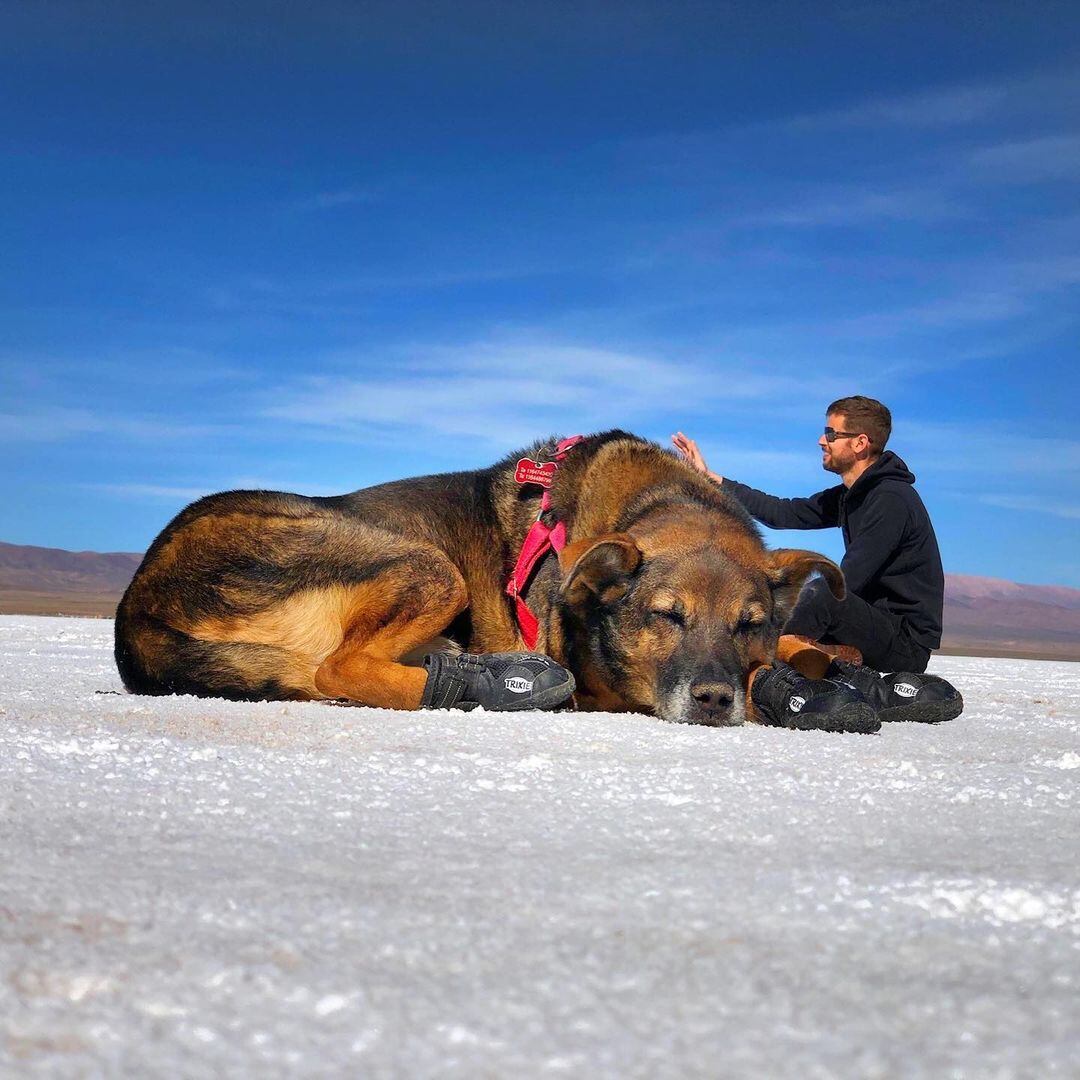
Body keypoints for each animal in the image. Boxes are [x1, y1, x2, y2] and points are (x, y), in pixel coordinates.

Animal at [116, 429, 842, 725]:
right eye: (667, 616)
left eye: (749, 625)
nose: (715, 701)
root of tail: (135, 613)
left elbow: (799, 646)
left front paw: (820, 661)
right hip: (427, 565)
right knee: (337, 670)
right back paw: (484, 686)